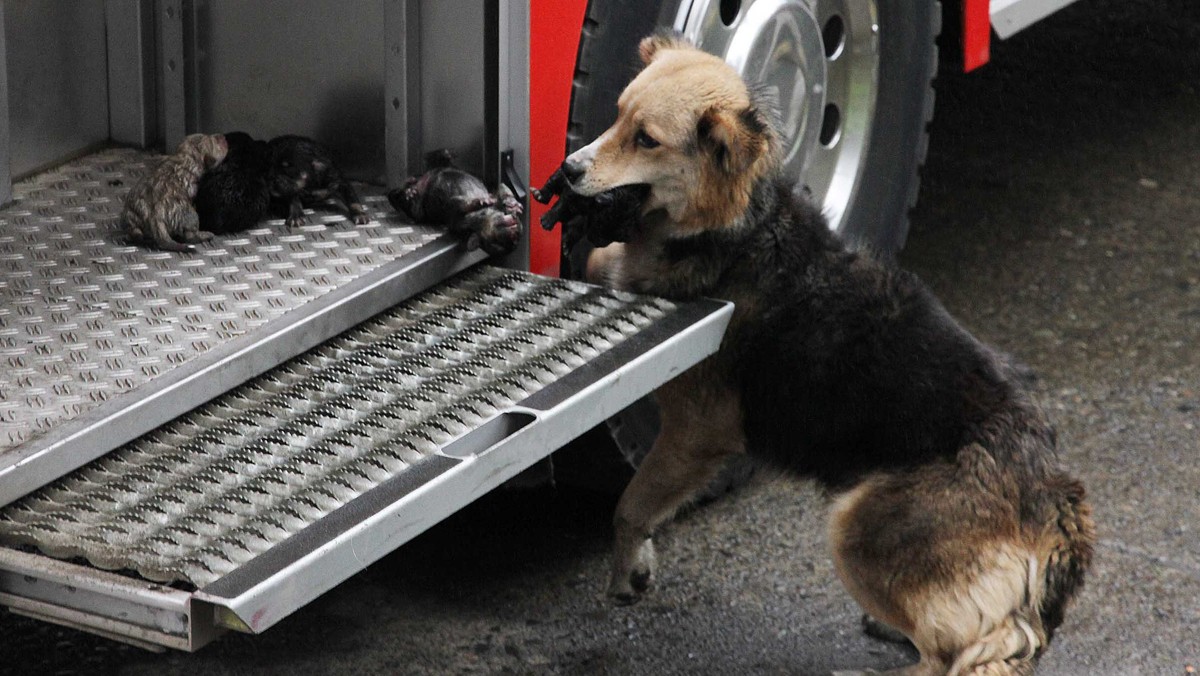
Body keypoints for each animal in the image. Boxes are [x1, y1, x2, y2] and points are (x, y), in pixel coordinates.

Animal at [386, 150, 523, 256]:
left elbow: (458, 204)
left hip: (417, 210)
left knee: (410, 204)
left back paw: (409, 193)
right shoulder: (490, 191)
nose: (514, 230)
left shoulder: (455, 216)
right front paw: (512, 205)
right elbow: (502, 189)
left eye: (495, 243)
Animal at [544, 33, 1099, 676]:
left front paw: (629, 567)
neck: (742, 226)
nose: (568, 169)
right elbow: (602, 262)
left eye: (646, 139)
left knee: (964, 651)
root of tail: (1056, 499)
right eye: (615, 116)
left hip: (858, 526)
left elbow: (632, 503)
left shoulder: (698, 431)